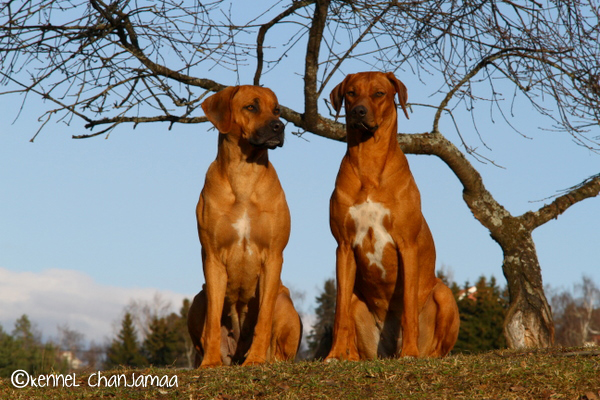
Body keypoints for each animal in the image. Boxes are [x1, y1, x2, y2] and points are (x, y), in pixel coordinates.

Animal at [186, 86, 302, 368]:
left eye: (277, 109)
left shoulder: (273, 257)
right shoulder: (213, 258)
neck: (244, 173)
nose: (279, 126)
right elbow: (213, 320)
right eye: (251, 107)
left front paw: (257, 358)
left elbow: (264, 318)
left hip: (284, 300)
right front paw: (210, 363)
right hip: (197, 299)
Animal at [324, 72, 460, 360]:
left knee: (438, 347)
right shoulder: (343, 246)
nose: (358, 112)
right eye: (351, 92)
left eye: (379, 93)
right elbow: (339, 312)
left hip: (443, 294)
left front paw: (409, 352)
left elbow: (408, 305)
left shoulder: (407, 245)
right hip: (357, 300)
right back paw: (349, 356)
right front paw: (334, 355)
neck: (369, 162)